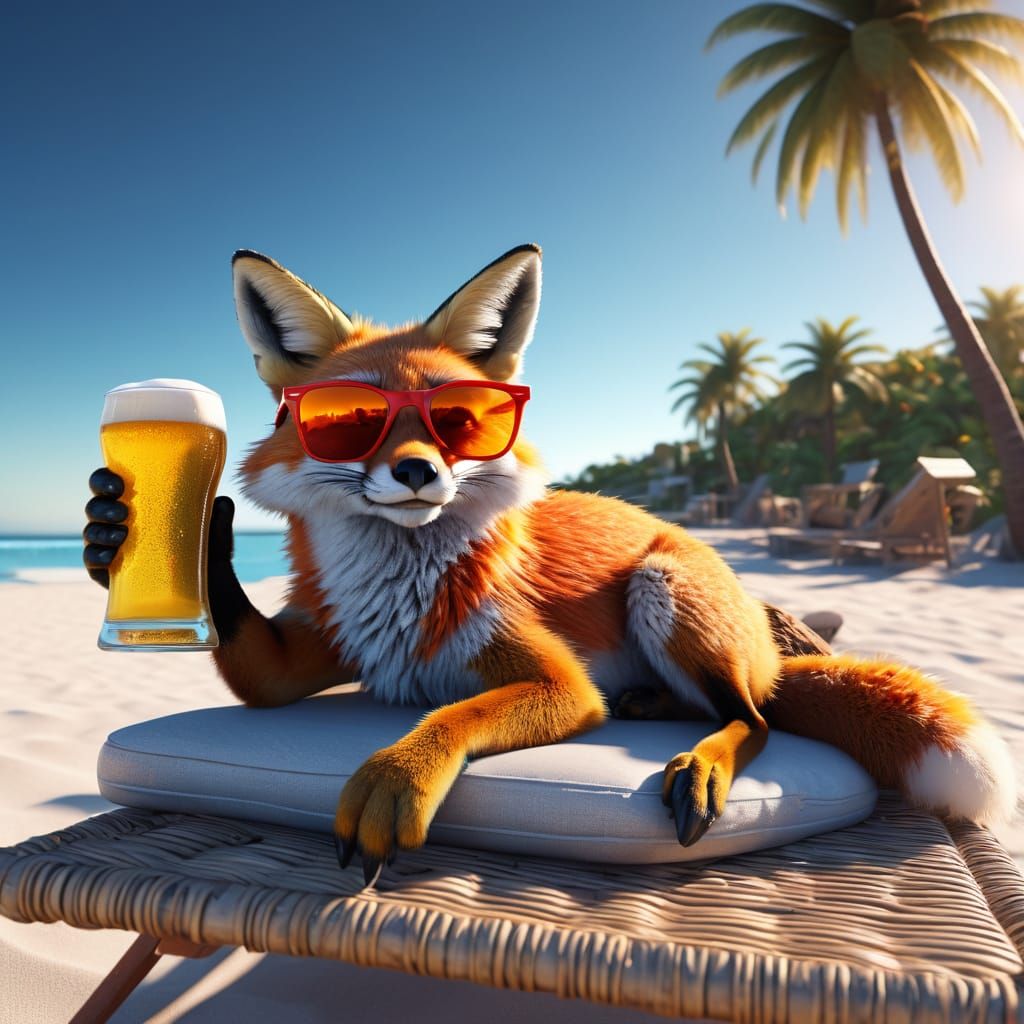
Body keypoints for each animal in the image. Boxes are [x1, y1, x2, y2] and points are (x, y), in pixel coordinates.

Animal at [84, 244, 1016, 886]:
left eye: (459, 419)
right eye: (351, 420)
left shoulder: (561, 684)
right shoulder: (317, 644)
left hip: (666, 592)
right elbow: (263, 674)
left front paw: (395, 774)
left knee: (755, 718)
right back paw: (650, 707)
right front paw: (140, 527)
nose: (417, 471)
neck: (400, 588)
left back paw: (700, 759)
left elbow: (450, 713)